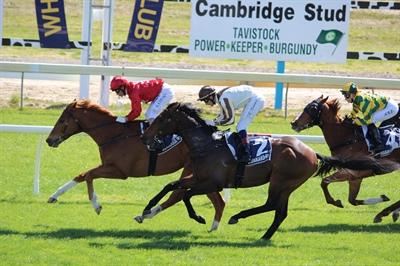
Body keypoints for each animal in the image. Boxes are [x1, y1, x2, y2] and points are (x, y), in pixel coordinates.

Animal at [46, 98, 225, 228]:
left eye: (61, 120)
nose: (49, 140)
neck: (113, 134)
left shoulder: (120, 171)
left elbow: (89, 175)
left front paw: (96, 205)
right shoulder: (108, 166)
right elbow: (82, 175)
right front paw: (54, 196)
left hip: (192, 170)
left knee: (178, 194)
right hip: (201, 174)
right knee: (217, 201)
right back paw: (213, 225)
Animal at [139, 102, 396, 239]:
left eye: (161, 119)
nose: (144, 137)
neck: (207, 144)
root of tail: (312, 152)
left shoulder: (214, 183)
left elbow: (187, 196)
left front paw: (199, 217)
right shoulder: (197, 177)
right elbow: (171, 185)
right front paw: (145, 210)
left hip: (280, 180)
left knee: (272, 204)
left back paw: (238, 217)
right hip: (289, 185)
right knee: (280, 211)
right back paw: (265, 235)